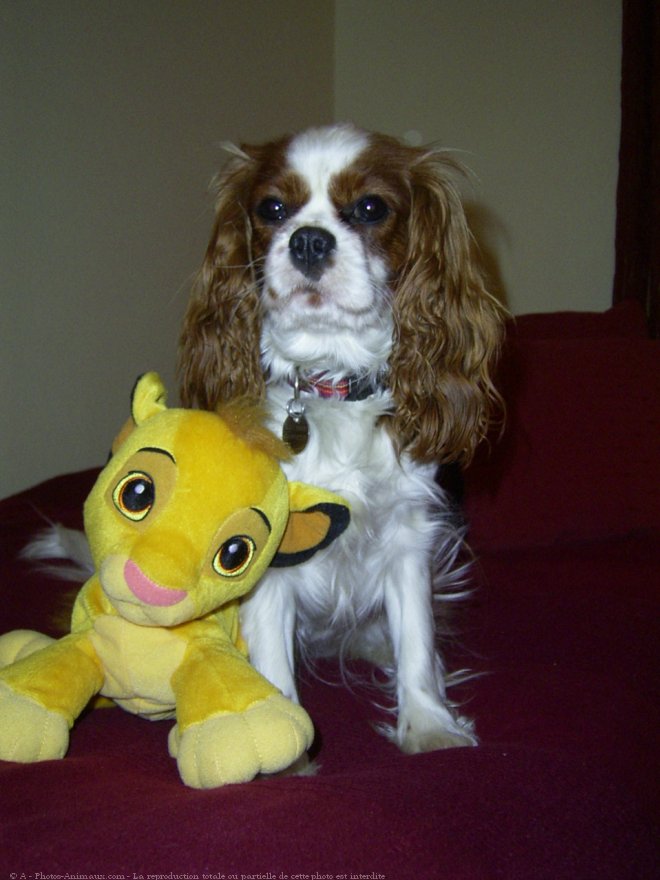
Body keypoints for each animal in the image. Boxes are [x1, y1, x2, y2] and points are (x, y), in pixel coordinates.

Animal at [178, 124, 502, 752]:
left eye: (372, 208)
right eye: (271, 209)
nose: (308, 240)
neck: (330, 380)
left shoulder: (407, 533)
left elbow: (417, 637)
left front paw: (429, 725)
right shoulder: (267, 546)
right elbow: (273, 662)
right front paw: (283, 744)